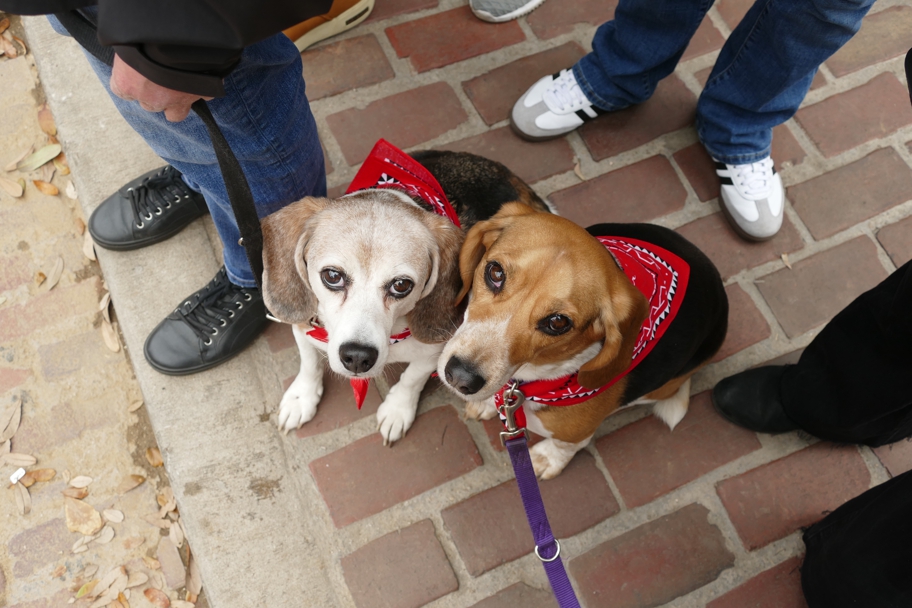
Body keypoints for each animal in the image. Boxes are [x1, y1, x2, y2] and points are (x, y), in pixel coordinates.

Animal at [260, 145, 552, 444]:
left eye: (401, 285)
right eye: (332, 276)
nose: (357, 357)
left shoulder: (437, 351)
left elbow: (412, 378)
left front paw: (397, 410)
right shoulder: (303, 324)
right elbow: (309, 362)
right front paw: (301, 398)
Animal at [438, 204, 732, 480]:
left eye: (558, 322)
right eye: (495, 272)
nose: (460, 377)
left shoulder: (574, 434)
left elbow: (565, 446)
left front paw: (546, 459)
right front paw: (486, 403)